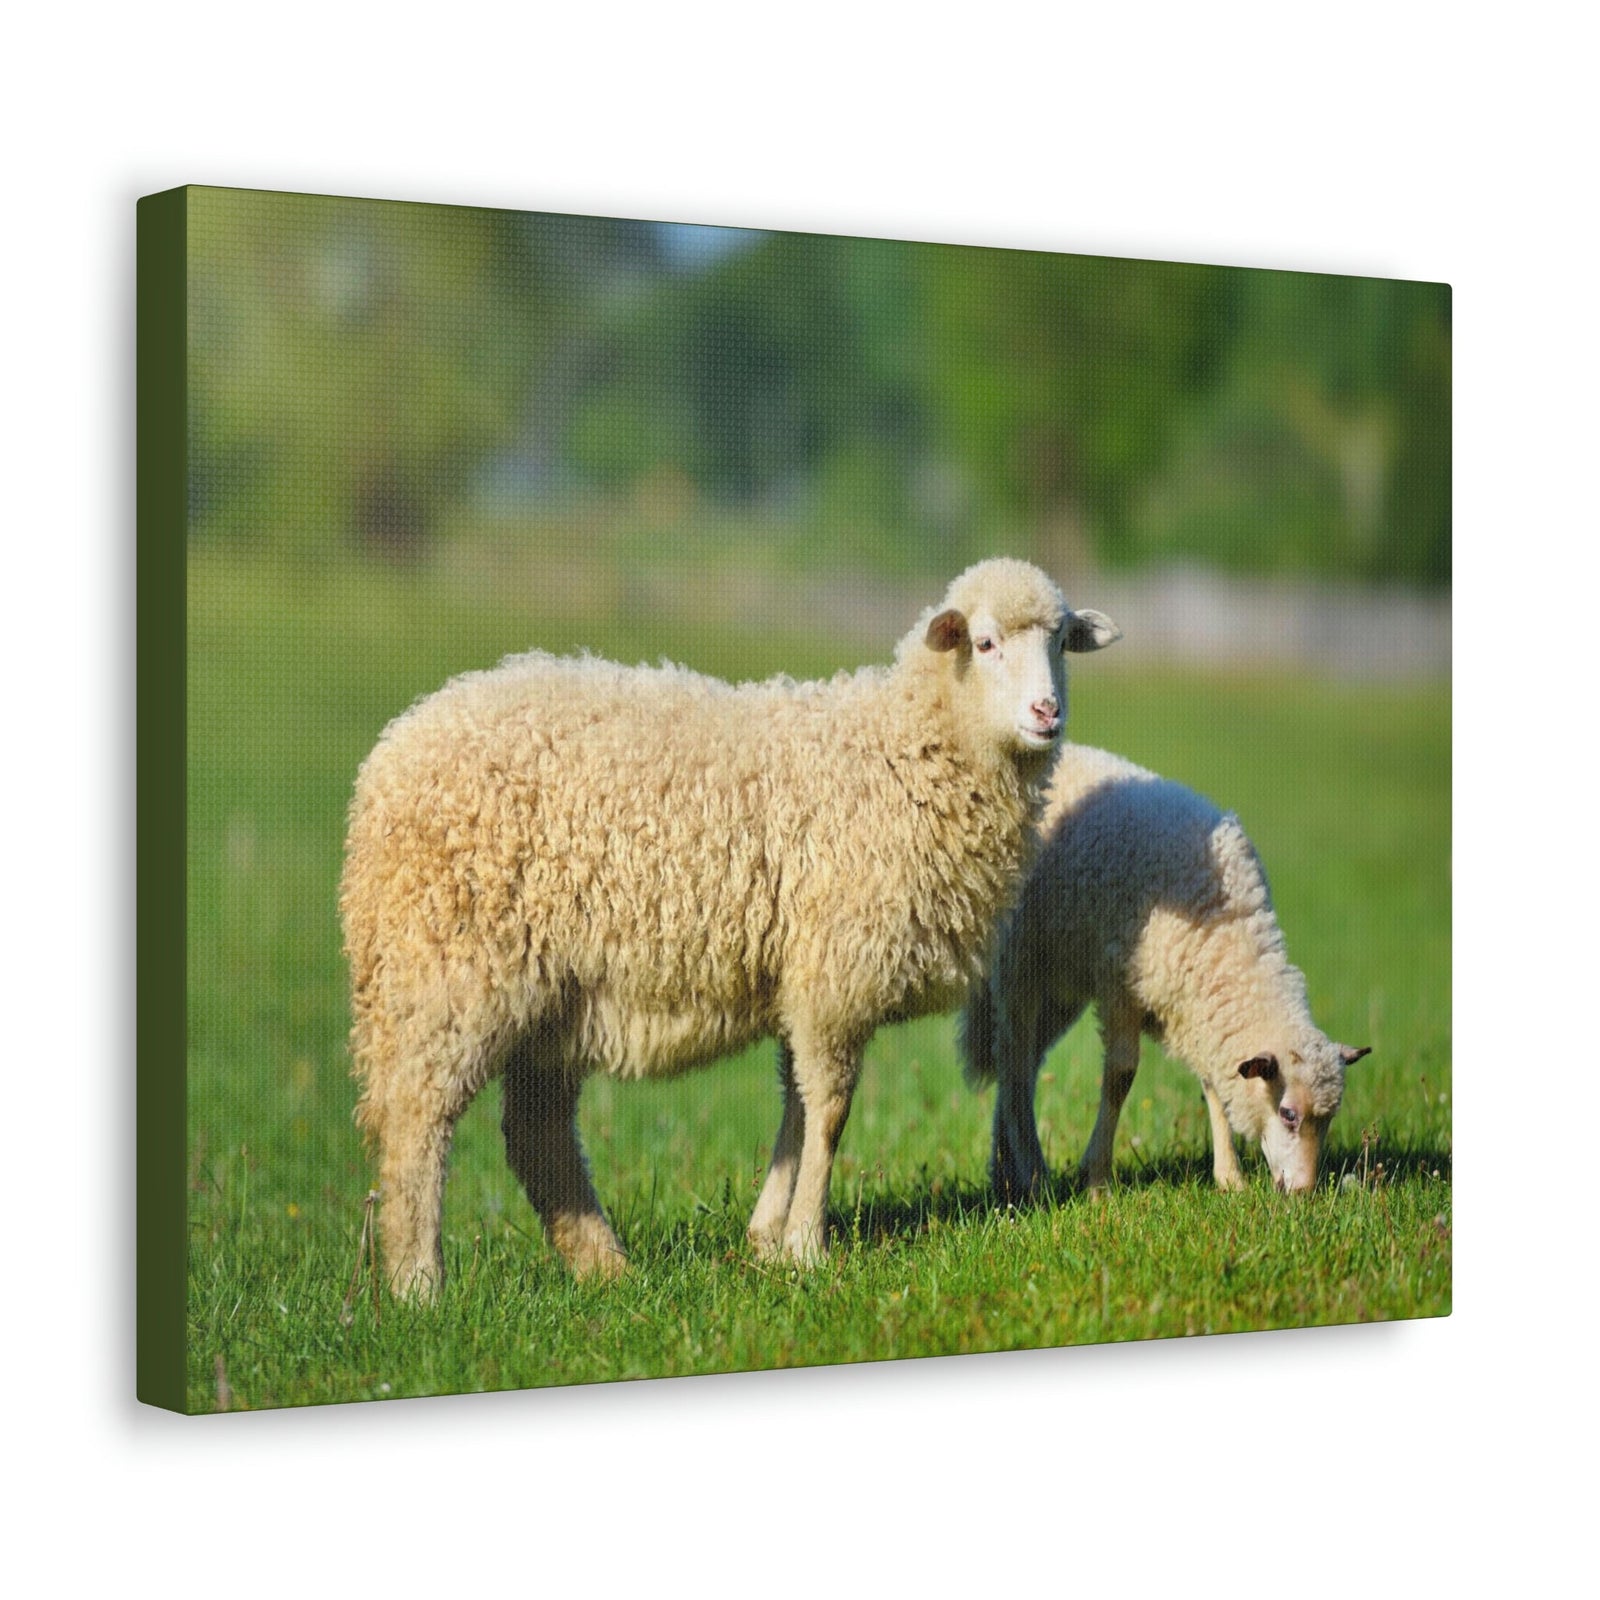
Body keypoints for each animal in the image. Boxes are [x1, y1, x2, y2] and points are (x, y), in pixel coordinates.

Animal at [340, 559, 1121, 1297]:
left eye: (1062, 641)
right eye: (985, 643)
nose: (1047, 711)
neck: (904, 749)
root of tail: (388, 758)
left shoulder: (803, 976)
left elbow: (796, 1107)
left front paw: (766, 1237)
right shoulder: (835, 972)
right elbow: (830, 1110)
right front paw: (807, 1245)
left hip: (551, 995)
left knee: (536, 1135)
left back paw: (605, 1270)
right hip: (448, 967)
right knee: (416, 1121)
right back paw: (419, 1285)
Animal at [961, 742, 1369, 1200]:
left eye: (1329, 1118)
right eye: (1288, 1114)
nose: (1302, 1192)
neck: (1225, 930)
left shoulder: (1194, 1007)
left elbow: (1213, 1083)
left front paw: (1230, 1178)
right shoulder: (1120, 986)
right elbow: (1120, 1077)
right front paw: (1096, 1178)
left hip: (1059, 986)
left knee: (1020, 1065)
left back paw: (1006, 1172)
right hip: (1019, 964)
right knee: (1013, 1063)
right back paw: (1030, 1174)